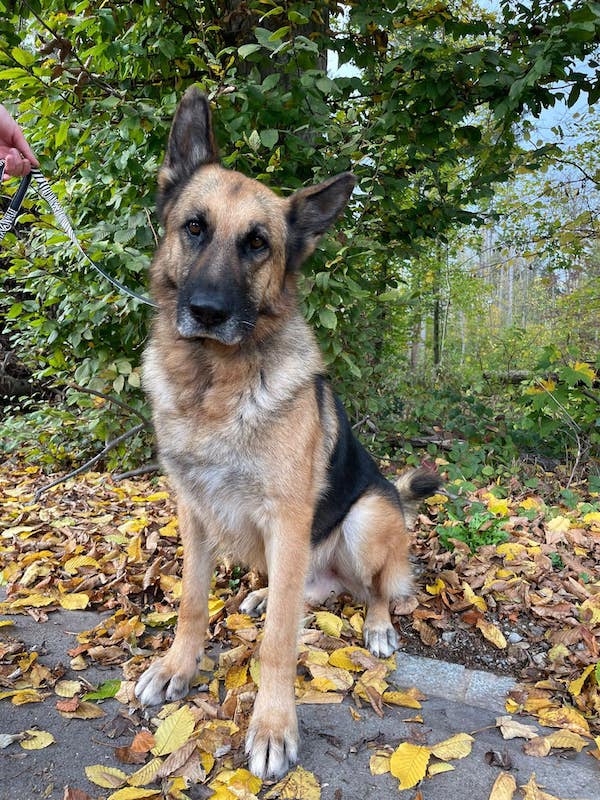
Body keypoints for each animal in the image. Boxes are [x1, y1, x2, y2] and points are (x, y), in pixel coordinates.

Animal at [134, 87, 441, 779]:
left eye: (258, 245)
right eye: (194, 227)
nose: (208, 313)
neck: (214, 385)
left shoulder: (289, 517)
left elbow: (277, 643)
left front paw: (272, 726)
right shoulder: (193, 514)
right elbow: (192, 603)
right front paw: (177, 668)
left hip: (365, 518)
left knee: (375, 590)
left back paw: (376, 625)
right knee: (297, 591)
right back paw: (264, 594)